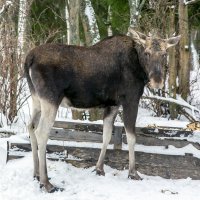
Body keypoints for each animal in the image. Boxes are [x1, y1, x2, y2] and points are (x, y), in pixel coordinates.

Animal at [24, 27, 180, 193]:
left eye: (164, 54)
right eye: (147, 53)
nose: (157, 81)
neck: (140, 68)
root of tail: (28, 58)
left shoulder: (113, 104)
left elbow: (106, 135)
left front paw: (99, 169)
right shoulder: (130, 99)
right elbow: (131, 137)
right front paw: (133, 173)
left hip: (36, 99)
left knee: (30, 126)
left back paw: (36, 174)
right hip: (51, 99)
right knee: (42, 132)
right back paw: (46, 183)